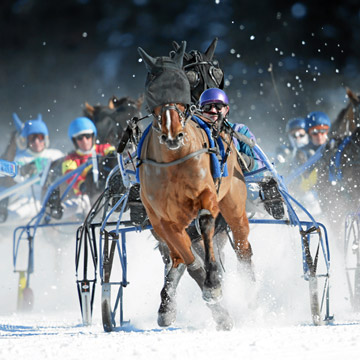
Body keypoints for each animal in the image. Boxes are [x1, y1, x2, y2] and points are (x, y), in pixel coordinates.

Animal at [136, 41, 252, 330]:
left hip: (235, 206)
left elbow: (206, 221)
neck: (173, 159)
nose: (172, 132)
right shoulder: (162, 221)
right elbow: (186, 261)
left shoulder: (206, 197)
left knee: (242, 246)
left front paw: (213, 282)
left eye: (217, 72)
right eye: (153, 87)